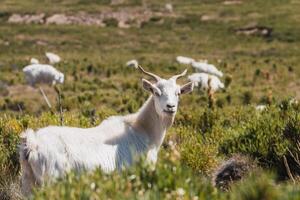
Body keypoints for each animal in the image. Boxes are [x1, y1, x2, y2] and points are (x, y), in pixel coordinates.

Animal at [18, 65, 193, 195]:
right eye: (156, 92)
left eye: (178, 93)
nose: (170, 107)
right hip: (52, 180)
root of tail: (32, 143)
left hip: (29, 182)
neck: (142, 130)